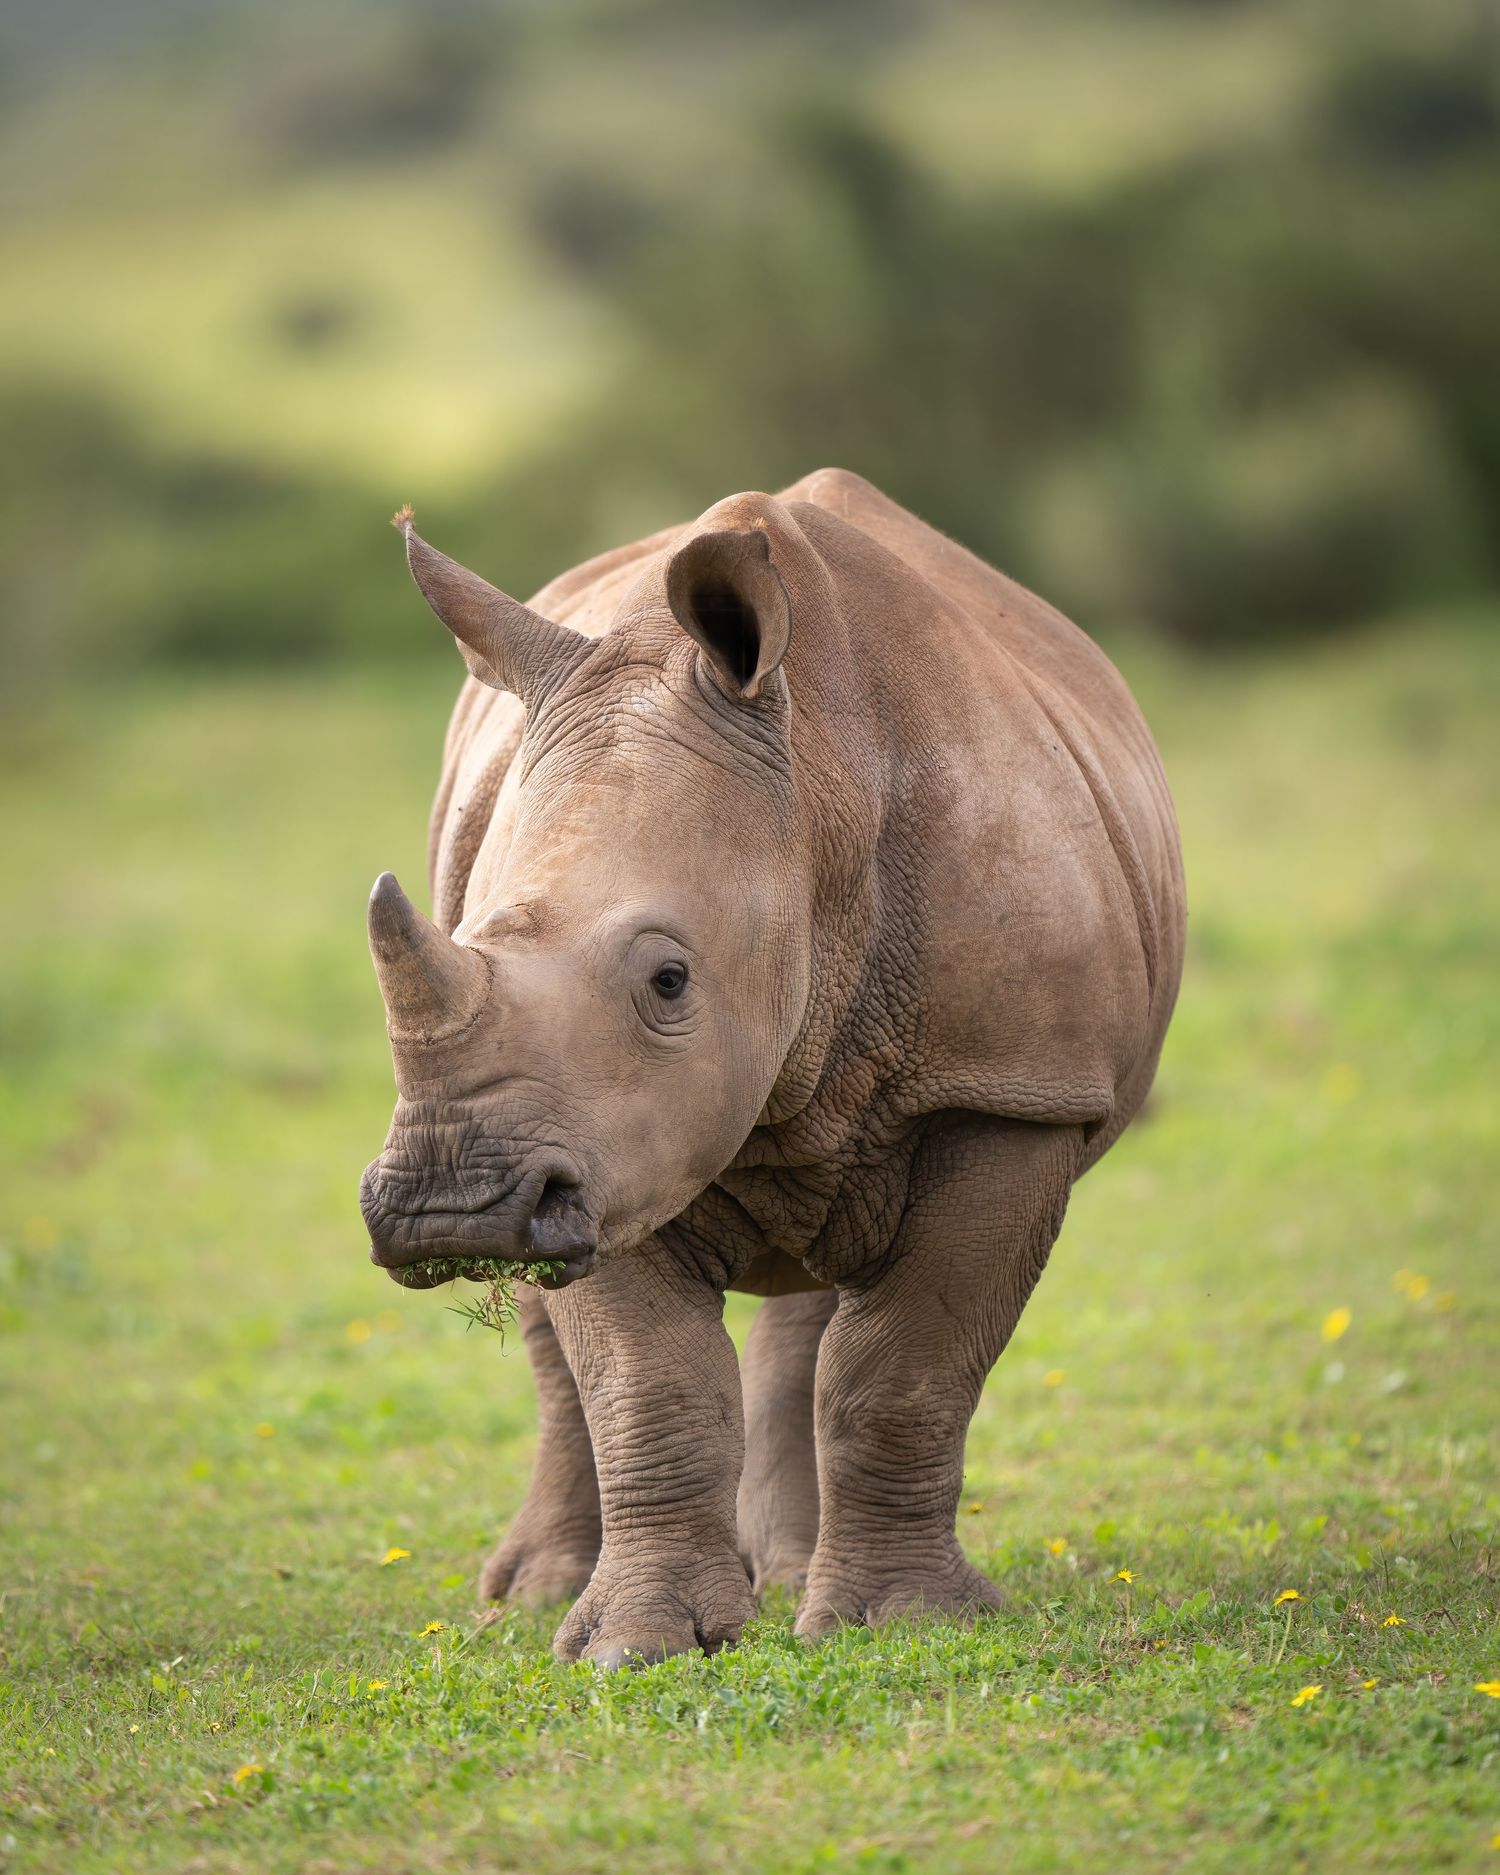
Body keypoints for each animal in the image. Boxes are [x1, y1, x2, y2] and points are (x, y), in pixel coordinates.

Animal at [360, 468, 1184, 1667]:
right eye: (460, 932)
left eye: (670, 980)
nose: (447, 1211)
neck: (817, 799)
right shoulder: (603, 1142)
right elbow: (649, 1384)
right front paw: (639, 1646)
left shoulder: (1013, 1089)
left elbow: (906, 1365)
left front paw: (905, 1625)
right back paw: (536, 1594)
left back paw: (790, 1577)